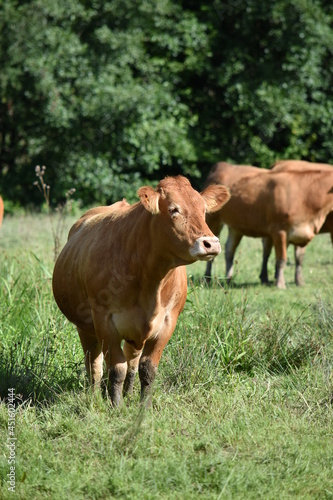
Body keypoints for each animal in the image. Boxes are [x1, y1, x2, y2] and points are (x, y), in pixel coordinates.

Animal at [53, 174, 230, 404]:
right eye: (173, 209)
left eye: (204, 209)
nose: (211, 243)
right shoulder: (104, 321)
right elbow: (116, 368)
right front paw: (116, 405)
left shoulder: (167, 322)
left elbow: (147, 369)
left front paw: (142, 405)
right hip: (85, 327)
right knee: (94, 363)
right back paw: (95, 395)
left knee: (131, 361)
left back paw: (125, 393)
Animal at [205, 166, 333, 288]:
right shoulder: (279, 230)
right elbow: (281, 259)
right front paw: (280, 284)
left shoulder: (302, 231)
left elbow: (299, 259)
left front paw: (300, 282)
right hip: (213, 220)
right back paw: (207, 278)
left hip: (236, 227)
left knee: (230, 250)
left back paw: (229, 279)